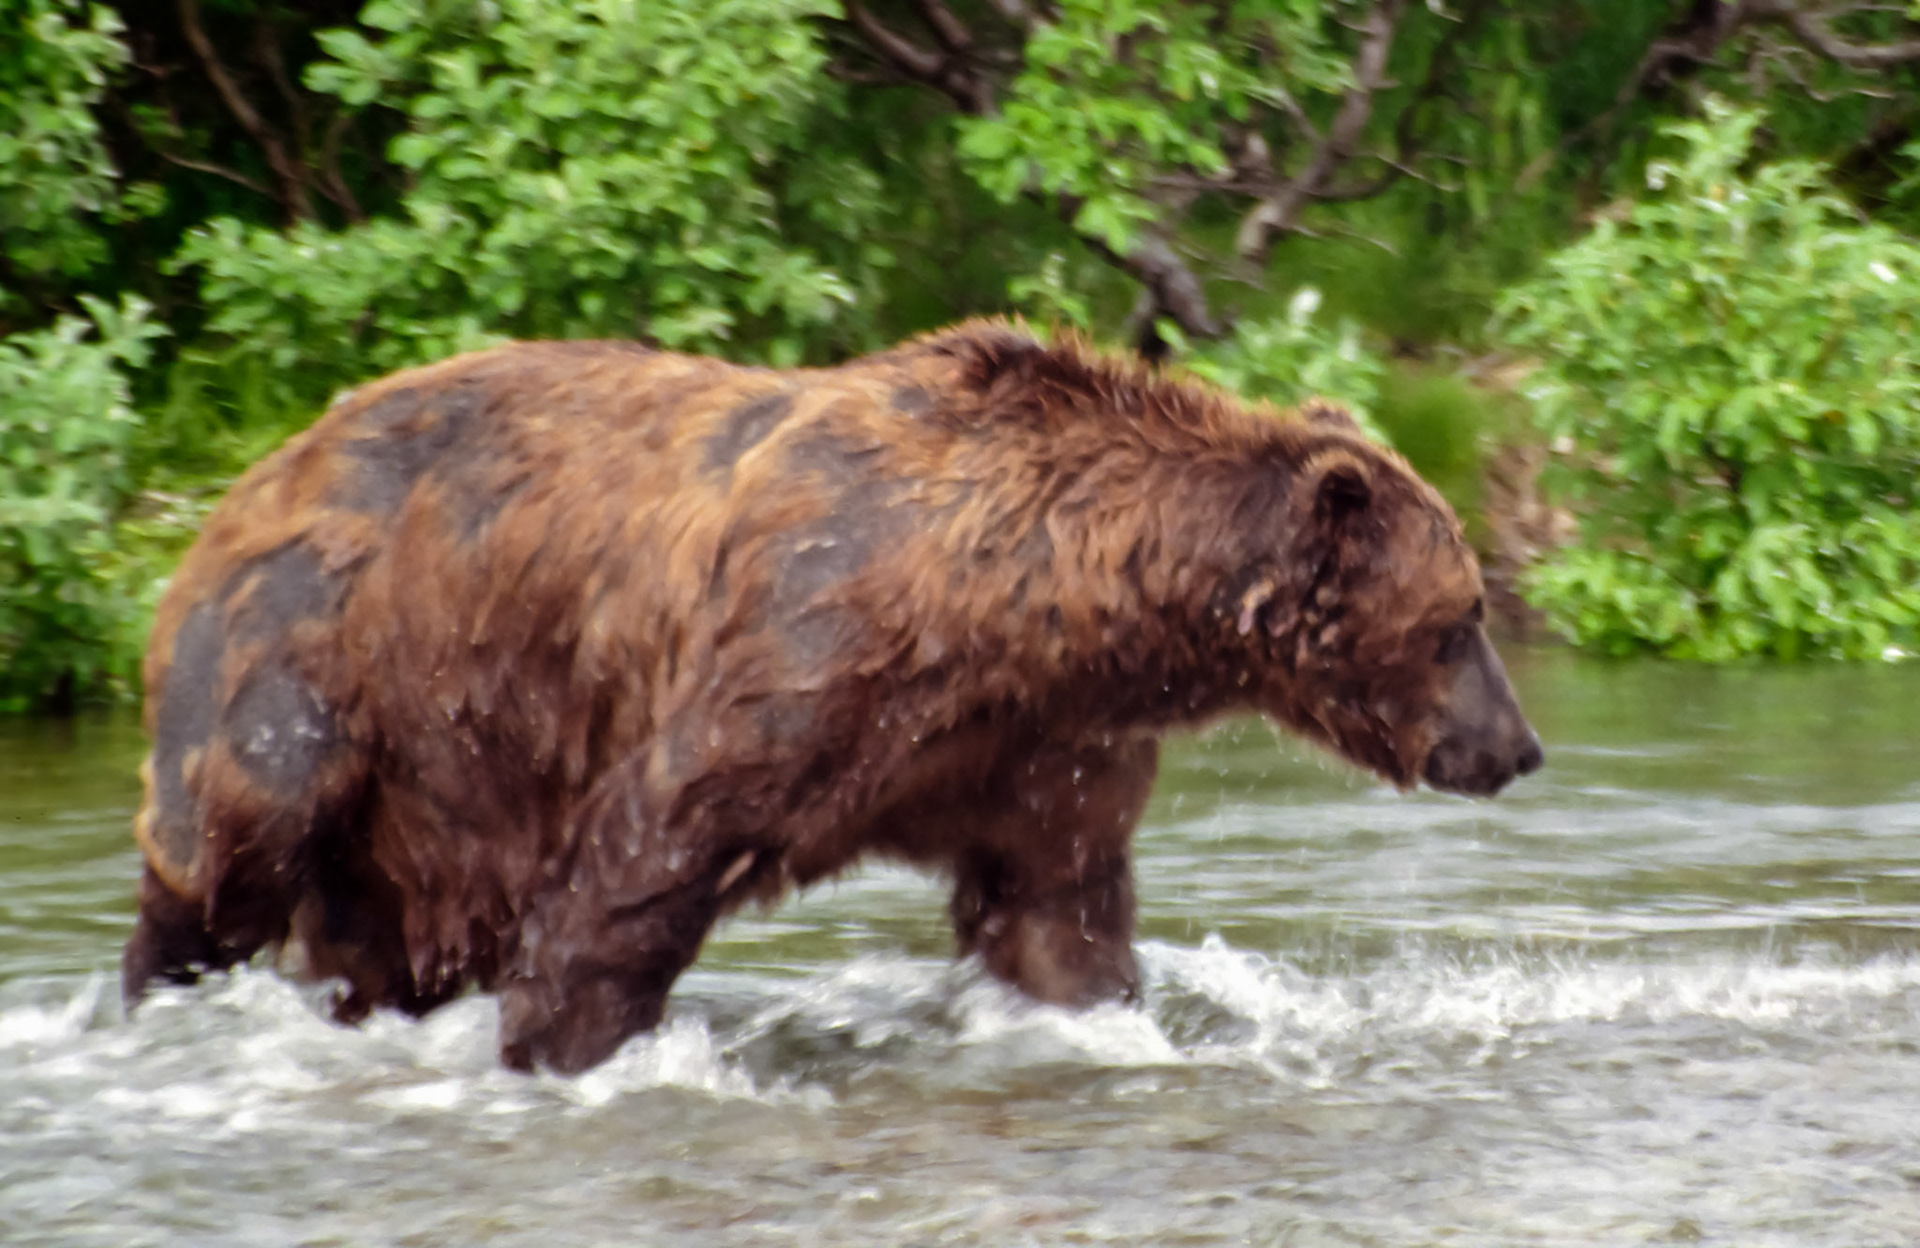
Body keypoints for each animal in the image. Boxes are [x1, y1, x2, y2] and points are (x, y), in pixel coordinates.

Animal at [122, 320, 1542, 1074]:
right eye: (1462, 618)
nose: (1518, 747)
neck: (1029, 604)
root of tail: (242, 474)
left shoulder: (1038, 750)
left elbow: (1059, 918)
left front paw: (1101, 1015)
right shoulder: (803, 653)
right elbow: (640, 864)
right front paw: (563, 1049)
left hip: (434, 792)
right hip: (313, 662)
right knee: (229, 852)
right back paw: (162, 994)